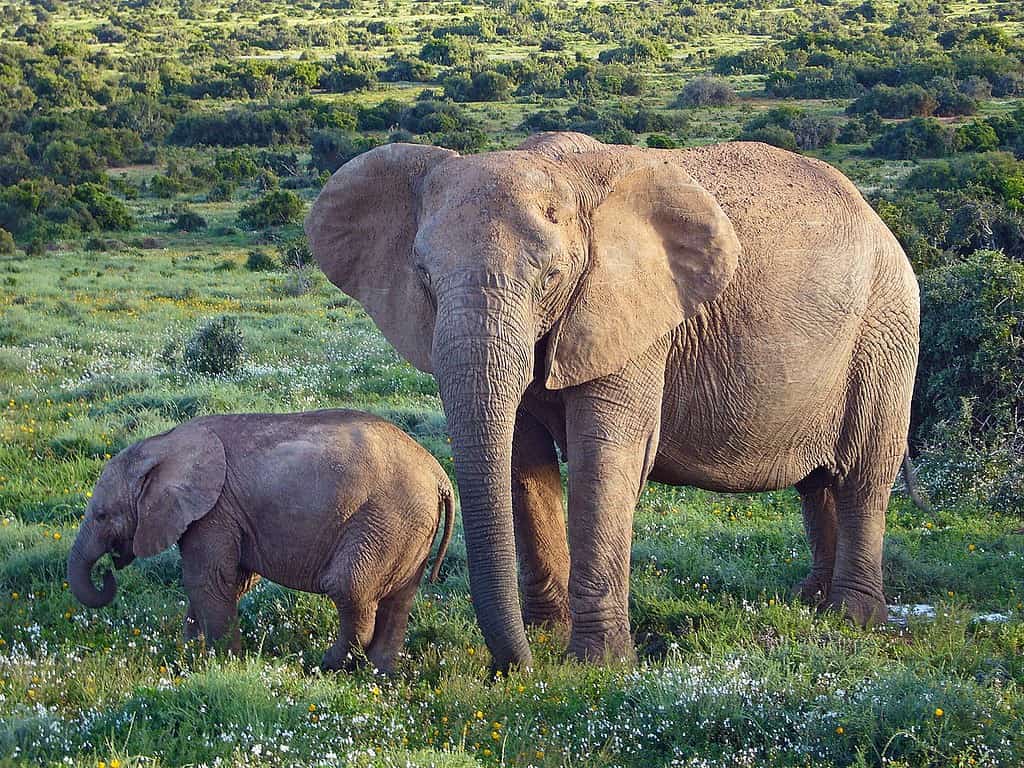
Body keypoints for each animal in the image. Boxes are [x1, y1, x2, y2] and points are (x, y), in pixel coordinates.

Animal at [67, 410, 454, 672]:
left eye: (101, 515)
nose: (108, 571)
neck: (162, 444)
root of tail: (439, 475)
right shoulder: (227, 515)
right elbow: (231, 582)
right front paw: (190, 652)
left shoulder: (214, 512)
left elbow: (207, 580)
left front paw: (221, 662)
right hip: (410, 528)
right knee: (399, 600)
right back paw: (378, 674)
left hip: (386, 519)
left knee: (349, 588)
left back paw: (325, 665)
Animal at [305, 132, 921, 671]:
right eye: (424, 278)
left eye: (552, 276)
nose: (513, 669)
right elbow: (523, 461)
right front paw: (547, 636)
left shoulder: (633, 314)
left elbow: (606, 455)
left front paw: (594, 663)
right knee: (817, 484)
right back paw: (810, 603)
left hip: (886, 329)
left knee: (864, 473)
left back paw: (854, 617)